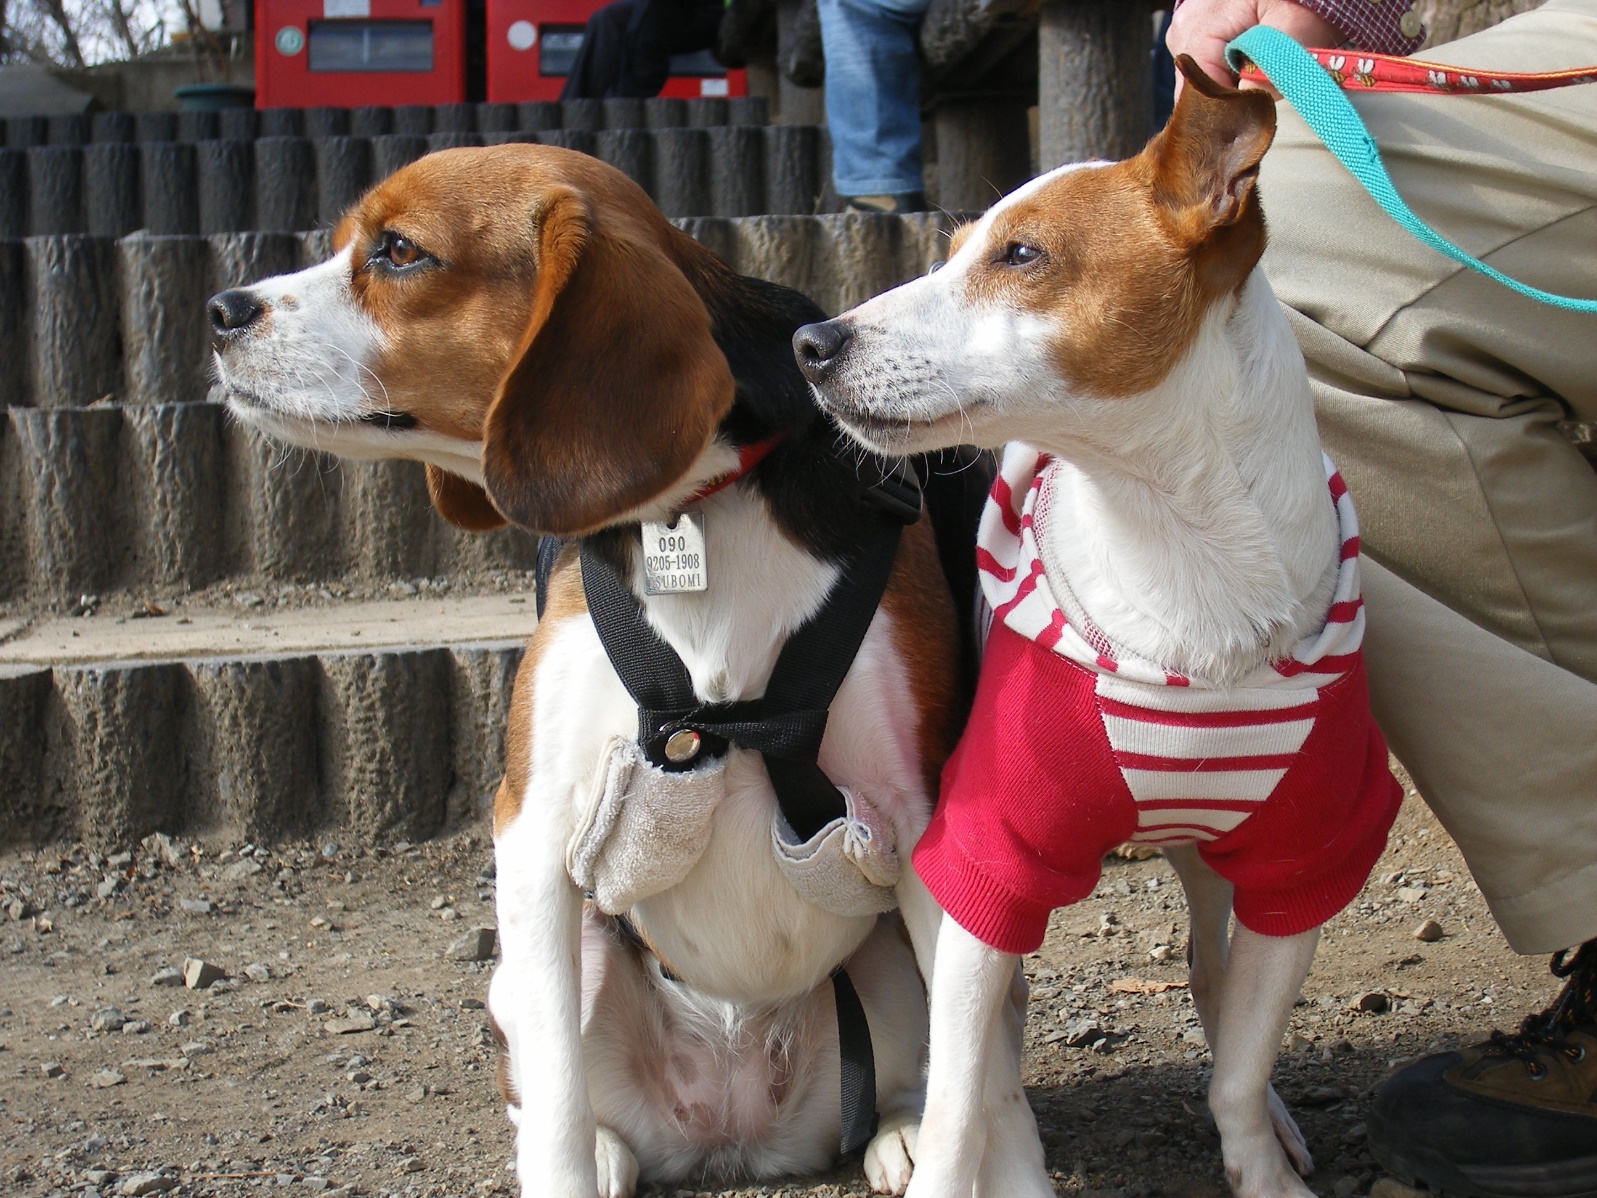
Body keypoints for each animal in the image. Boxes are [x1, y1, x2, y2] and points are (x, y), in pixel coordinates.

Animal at [798, 63, 1398, 1198]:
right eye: (953, 251)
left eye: (1021, 256)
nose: (812, 343)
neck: (1182, 557)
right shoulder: (988, 858)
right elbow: (961, 1100)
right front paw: (971, 1155)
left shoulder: (1303, 859)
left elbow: (1238, 1068)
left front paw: (1262, 1166)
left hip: (1218, 861)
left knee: (1210, 974)